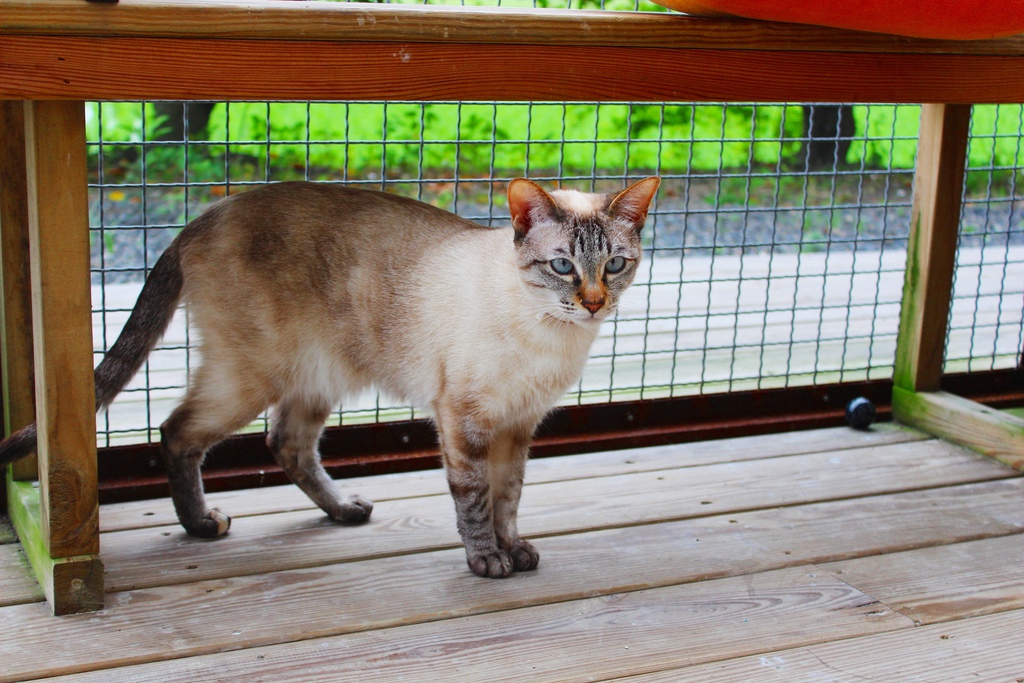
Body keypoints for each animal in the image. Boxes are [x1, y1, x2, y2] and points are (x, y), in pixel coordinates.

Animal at [0, 176, 659, 577]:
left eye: (615, 265)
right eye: (563, 267)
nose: (594, 303)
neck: (552, 335)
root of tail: (202, 215)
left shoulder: (517, 427)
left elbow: (508, 498)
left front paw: (514, 550)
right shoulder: (466, 423)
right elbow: (474, 501)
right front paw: (488, 562)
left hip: (318, 377)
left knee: (285, 443)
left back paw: (343, 511)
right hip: (253, 375)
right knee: (176, 431)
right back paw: (203, 525)